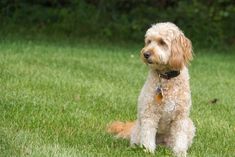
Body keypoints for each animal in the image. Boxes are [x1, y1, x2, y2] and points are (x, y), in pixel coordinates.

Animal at [107, 22, 196, 157]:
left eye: (162, 42)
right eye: (149, 41)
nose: (146, 54)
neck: (166, 78)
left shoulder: (180, 117)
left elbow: (180, 137)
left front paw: (180, 152)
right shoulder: (149, 114)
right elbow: (148, 134)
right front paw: (148, 150)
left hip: (190, 125)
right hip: (138, 130)